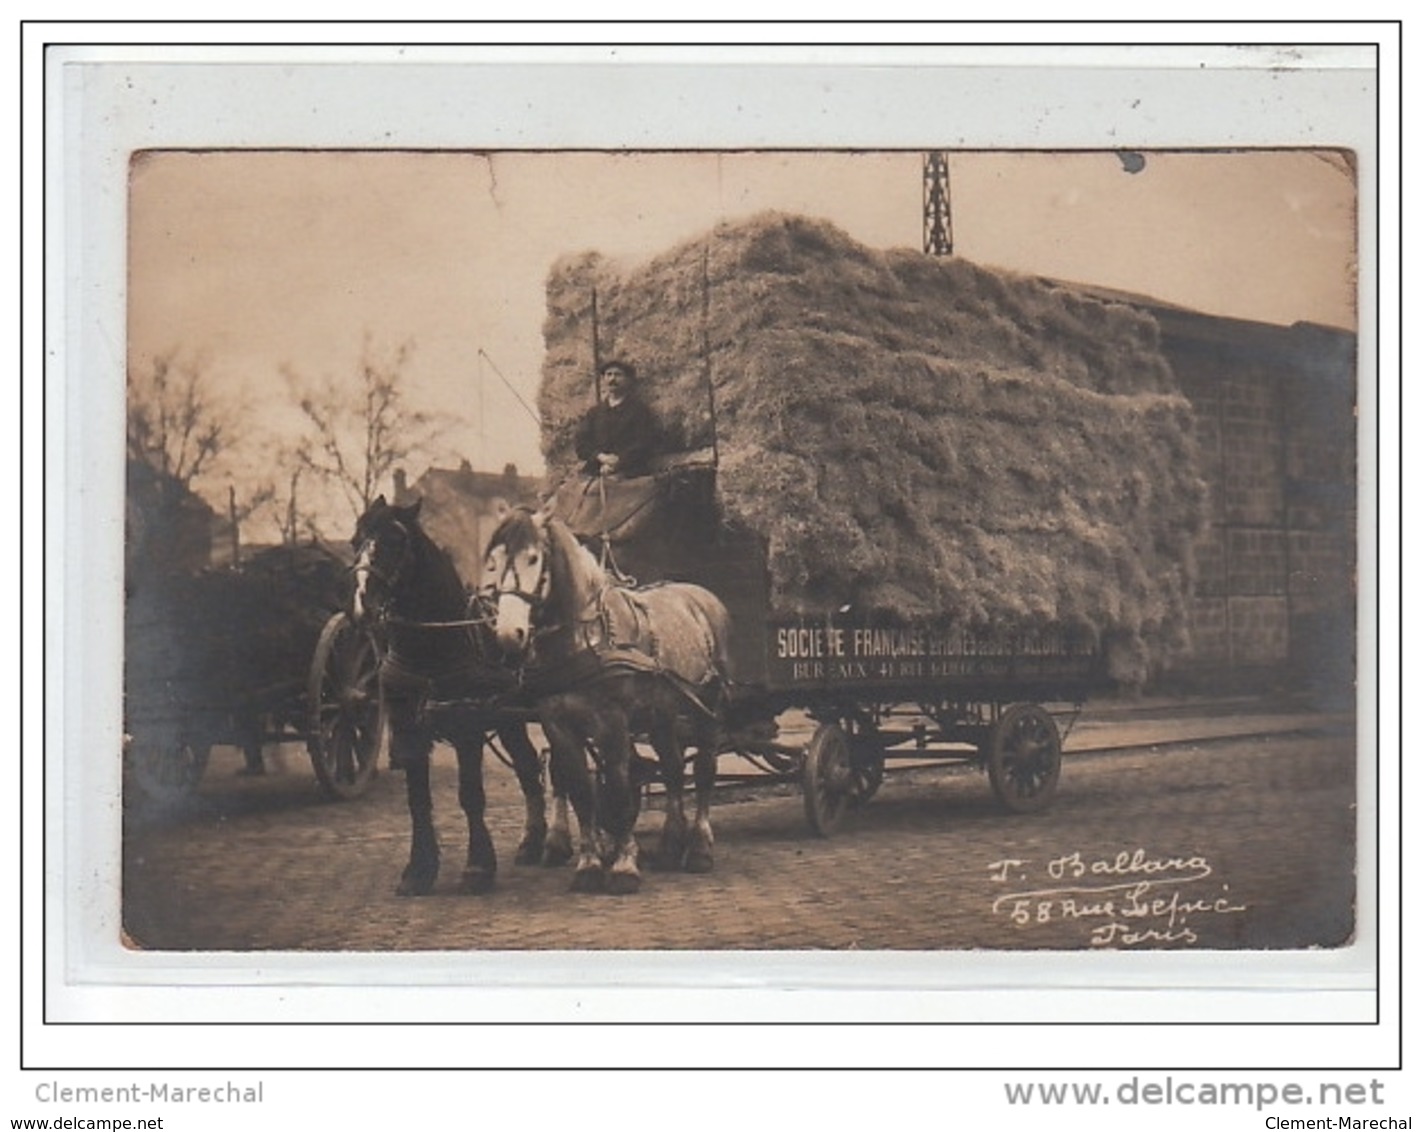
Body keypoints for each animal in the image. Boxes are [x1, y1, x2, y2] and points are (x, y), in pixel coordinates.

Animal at [349, 494, 560, 893]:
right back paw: (531, 842)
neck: (434, 645)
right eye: (356, 542)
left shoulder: (467, 726)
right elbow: (417, 800)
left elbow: (470, 795)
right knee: (527, 767)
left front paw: (478, 867)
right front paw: (418, 870)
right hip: (510, 720)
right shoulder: (408, 730)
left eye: (396, 541)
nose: (364, 603)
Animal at [489, 506, 733, 893]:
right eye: (495, 561)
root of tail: (704, 596)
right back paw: (669, 845)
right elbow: (581, 791)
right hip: (663, 714)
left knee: (705, 771)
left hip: (708, 709)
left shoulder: (613, 723)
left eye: (533, 558)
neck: (586, 639)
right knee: (674, 769)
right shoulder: (559, 725)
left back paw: (698, 848)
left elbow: (618, 791)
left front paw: (623, 866)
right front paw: (589, 865)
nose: (508, 635)